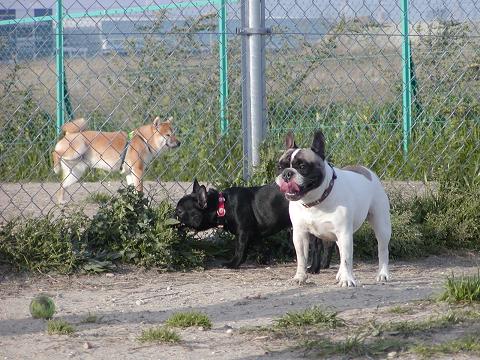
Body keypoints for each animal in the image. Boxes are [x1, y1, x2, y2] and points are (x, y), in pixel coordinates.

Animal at [52, 116, 180, 204]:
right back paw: (56, 166)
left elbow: (133, 191)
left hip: (75, 173)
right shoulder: (138, 170)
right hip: (77, 149)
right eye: (168, 135)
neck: (144, 140)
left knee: (62, 185)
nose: (179, 143)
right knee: (55, 152)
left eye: (174, 133)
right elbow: (140, 190)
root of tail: (69, 134)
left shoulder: (130, 173)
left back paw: (61, 201)